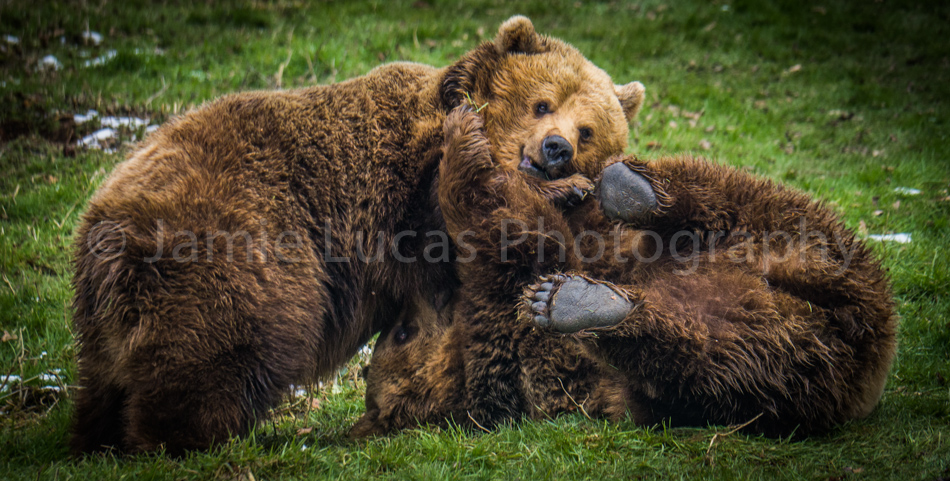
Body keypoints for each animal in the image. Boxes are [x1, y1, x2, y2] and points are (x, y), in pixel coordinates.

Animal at [70, 16, 647, 455]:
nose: (556, 149)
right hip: (233, 249)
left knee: (107, 381)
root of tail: (103, 224)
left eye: (587, 130)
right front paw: (565, 191)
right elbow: (469, 216)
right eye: (542, 103)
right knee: (223, 345)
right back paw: (191, 436)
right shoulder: (402, 190)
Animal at [349, 107, 897, 438]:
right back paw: (580, 304)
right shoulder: (510, 351)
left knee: (723, 196)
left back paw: (631, 187)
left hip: (787, 233)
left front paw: (463, 129)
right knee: (704, 354)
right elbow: (514, 236)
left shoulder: (585, 237)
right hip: (777, 374)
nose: (422, 295)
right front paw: (464, 142)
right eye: (402, 331)